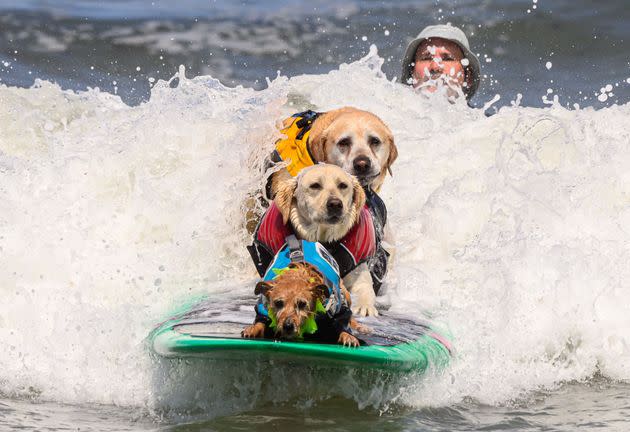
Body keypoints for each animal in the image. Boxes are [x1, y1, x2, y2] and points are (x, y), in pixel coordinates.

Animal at [276, 164, 380, 316]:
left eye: (343, 185)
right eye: (315, 185)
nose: (335, 204)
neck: (324, 239)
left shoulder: (358, 271)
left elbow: (365, 288)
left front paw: (364, 306)